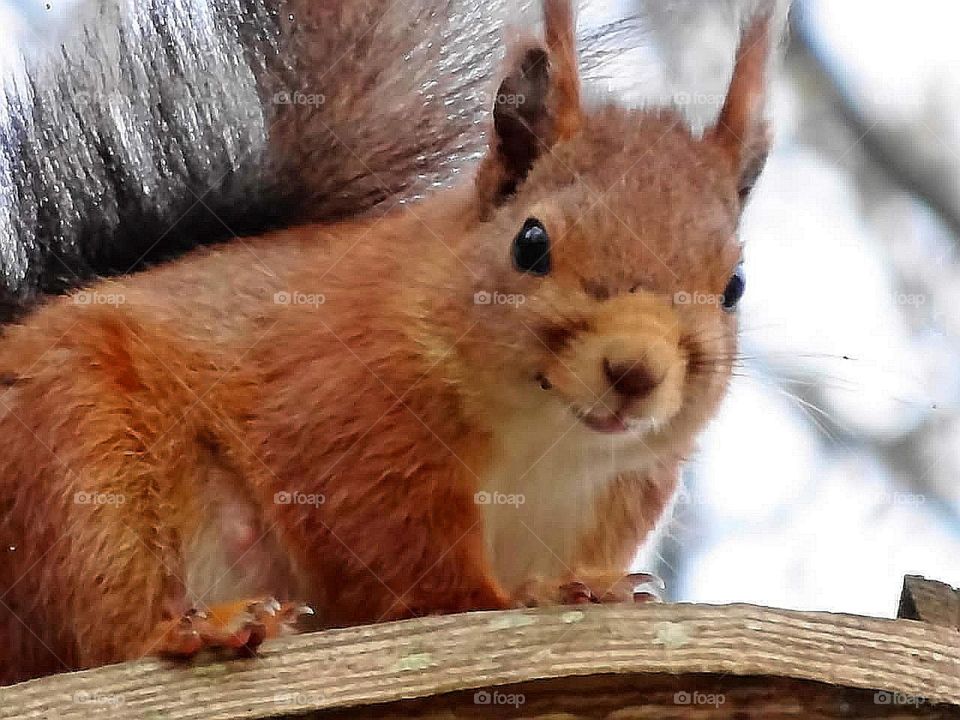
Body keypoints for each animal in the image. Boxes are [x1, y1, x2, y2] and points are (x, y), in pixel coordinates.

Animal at [0, 0, 772, 684]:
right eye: (531, 242)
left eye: (735, 286)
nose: (634, 370)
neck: (543, 441)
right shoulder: (347, 414)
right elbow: (415, 575)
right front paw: (524, 599)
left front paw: (594, 589)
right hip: (77, 456)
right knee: (111, 626)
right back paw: (200, 629)